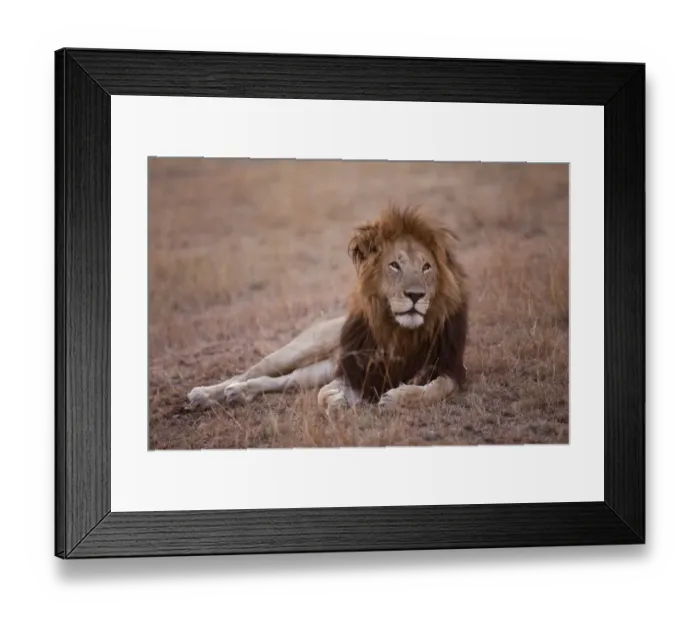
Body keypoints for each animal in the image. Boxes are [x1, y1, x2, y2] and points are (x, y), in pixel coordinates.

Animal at [186, 205, 469, 414]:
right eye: (394, 265)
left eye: (426, 267)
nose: (415, 295)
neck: (401, 333)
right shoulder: (352, 370)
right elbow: (325, 396)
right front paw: (340, 402)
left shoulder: (450, 368)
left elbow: (435, 390)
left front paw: (398, 398)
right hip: (302, 349)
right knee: (251, 371)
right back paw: (205, 394)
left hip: (316, 371)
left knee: (283, 380)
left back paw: (239, 393)